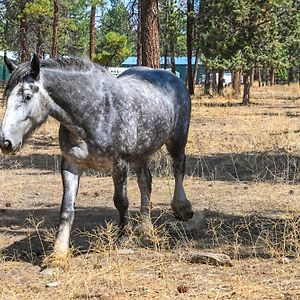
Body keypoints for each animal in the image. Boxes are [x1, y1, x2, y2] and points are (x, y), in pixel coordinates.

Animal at [0, 55, 192, 264]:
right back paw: (145, 227)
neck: (95, 111)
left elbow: (121, 201)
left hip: (177, 140)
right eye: (6, 96)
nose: (5, 142)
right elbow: (66, 209)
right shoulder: (71, 166)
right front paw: (59, 252)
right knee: (145, 182)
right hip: (140, 153)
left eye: (27, 96)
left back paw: (182, 208)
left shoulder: (119, 164)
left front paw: (122, 238)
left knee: (179, 167)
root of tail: (172, 76)